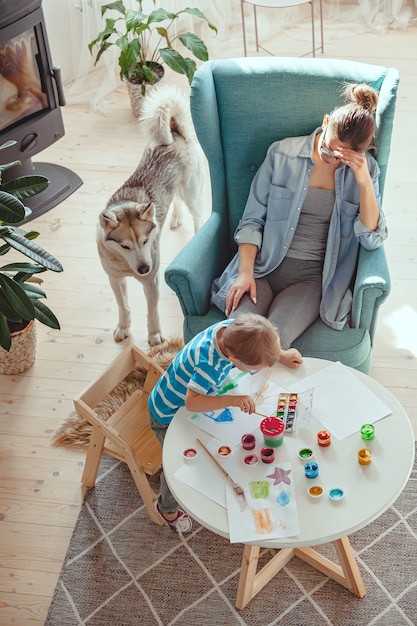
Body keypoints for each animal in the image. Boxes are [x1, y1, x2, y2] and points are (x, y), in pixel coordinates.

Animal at [94, 84, 205, 344]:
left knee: (197, 215)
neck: (126, 264)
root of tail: (175, 132)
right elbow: (123, 305)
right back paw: (174, 219)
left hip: (191, 192)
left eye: (145, 241)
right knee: (174, 201)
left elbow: (152, 311)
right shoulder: (115, 279)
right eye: (124, 246)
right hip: (174, 190)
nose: (144, 268)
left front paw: (154, 336)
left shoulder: (151, 281)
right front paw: (123, 328)